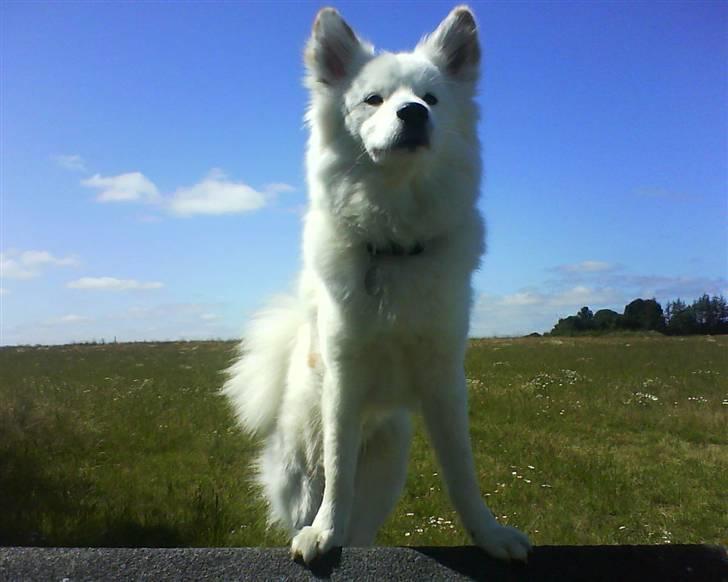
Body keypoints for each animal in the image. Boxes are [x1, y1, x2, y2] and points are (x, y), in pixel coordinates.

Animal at [222, 5, 528, 564]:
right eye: (374, 99)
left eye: (431, 98)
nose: (413, 114)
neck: (395, 242)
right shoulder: (344, 381)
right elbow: (339, 475)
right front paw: (322, 535)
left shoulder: (445, 380)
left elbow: (463, 474)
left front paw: (490, 535)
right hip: (302, 471)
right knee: (319, 493)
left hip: (386, 473)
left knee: (363, 524)